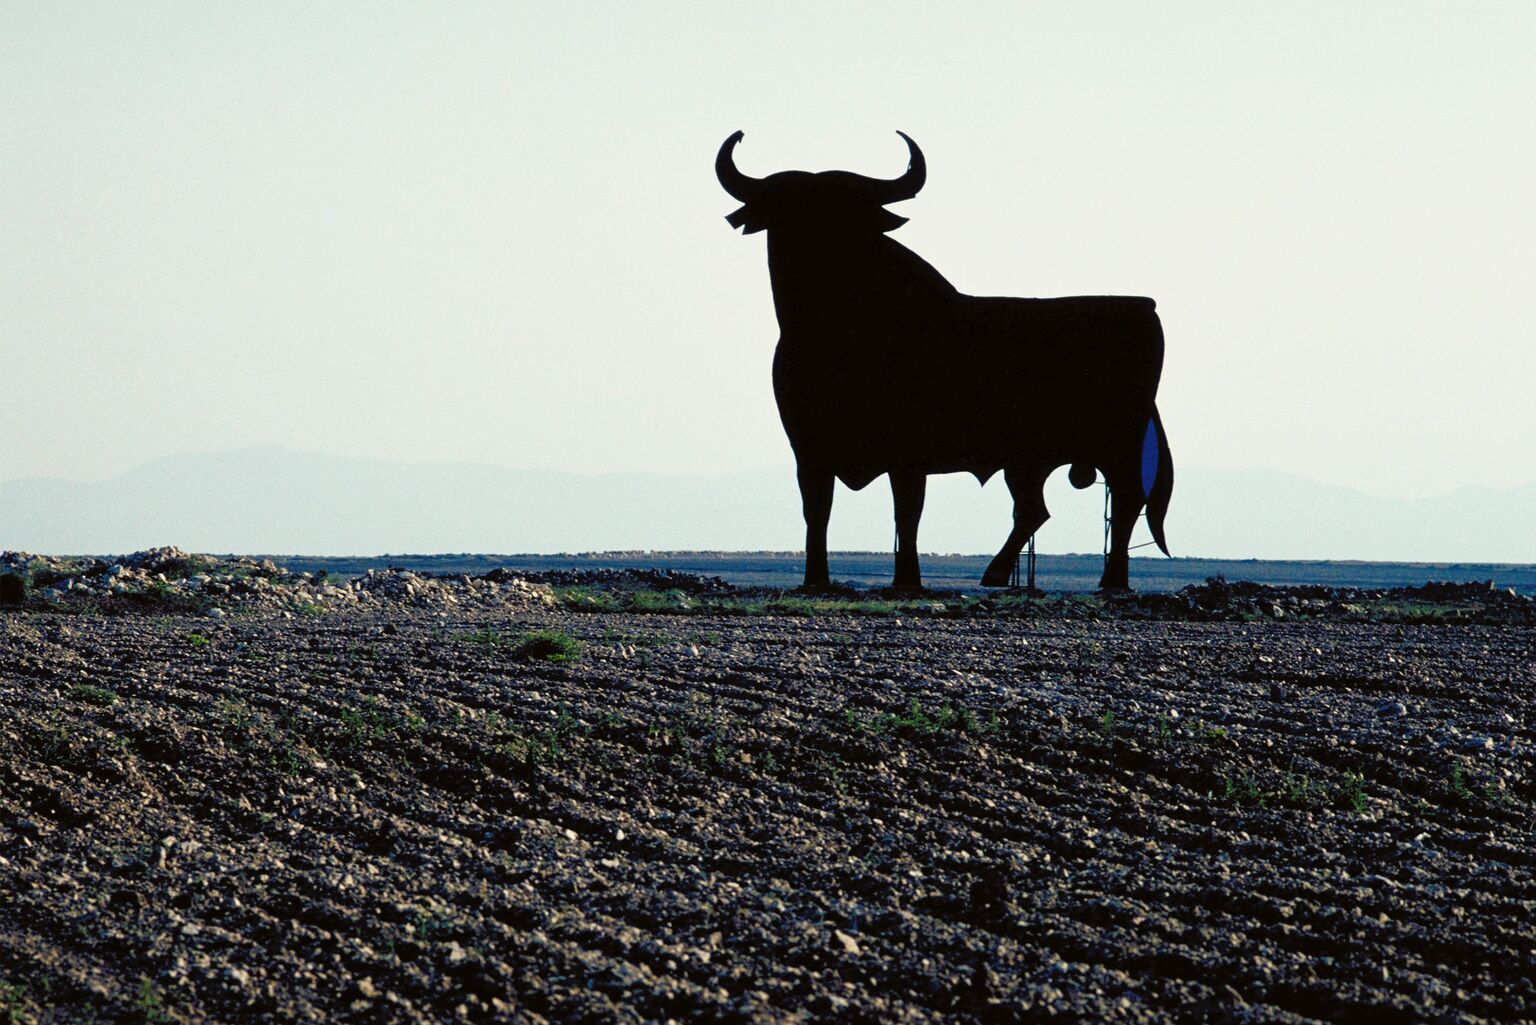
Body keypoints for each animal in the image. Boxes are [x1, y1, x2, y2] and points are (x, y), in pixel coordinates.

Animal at [717, 130, 1173, 591]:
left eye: (849, 213)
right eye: (786, 210)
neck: (837, 331)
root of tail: (1144, 306)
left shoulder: (907, 451)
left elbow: (907, 512)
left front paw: (907, 581)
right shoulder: (808, 449)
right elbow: (817, 511)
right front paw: (816, 580)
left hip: (1119, 444)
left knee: (1126, 499)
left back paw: (1110, 580)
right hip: (1028, 462)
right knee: (1035, 509)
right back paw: (999, 574)